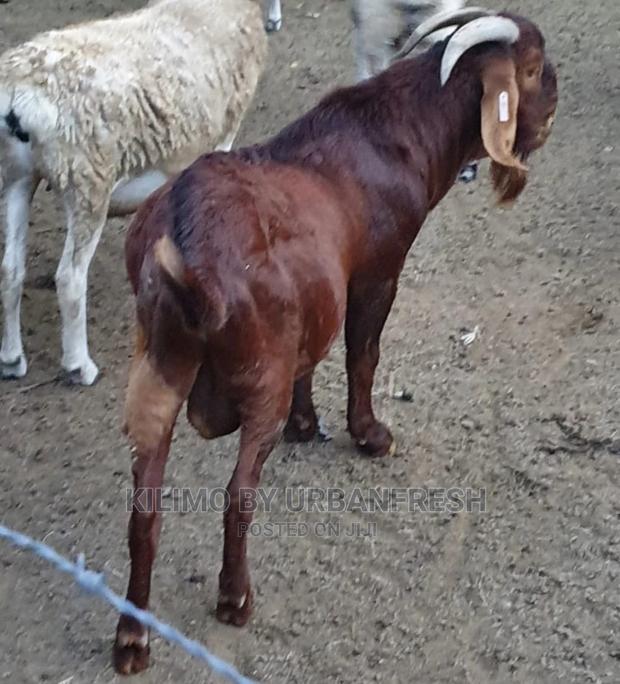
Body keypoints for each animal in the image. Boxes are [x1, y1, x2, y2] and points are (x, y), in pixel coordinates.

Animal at [0, 0, 267, 386]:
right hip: (87, 179)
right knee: (69, 278)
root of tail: (18, 98)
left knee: (10, 269)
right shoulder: (222, 136)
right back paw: (79, 366)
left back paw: (11, 360)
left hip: (17, 176)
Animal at [115, 9, 557, 674]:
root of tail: (187, 256)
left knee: (145, 507)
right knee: (238, 494)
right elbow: (362, 355)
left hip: (157, 371)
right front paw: (370, 434)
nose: (555, 98)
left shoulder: (322, 294)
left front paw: (307, 423)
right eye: (529, 70)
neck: (396, 133)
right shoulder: (378, 271)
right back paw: (235, 599)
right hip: (257, 376)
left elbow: (316, 358)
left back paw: (132, 637)